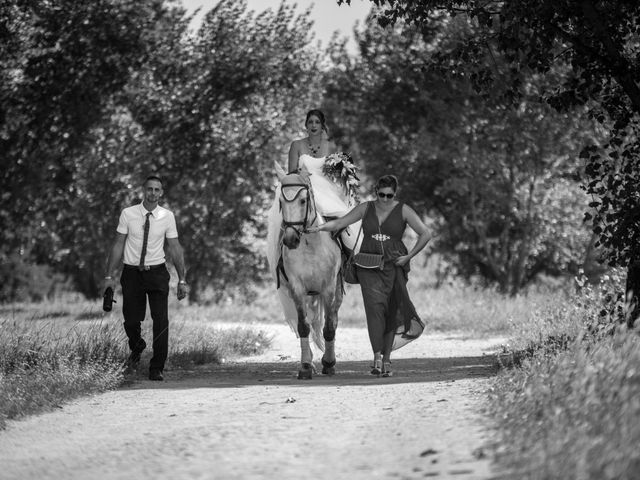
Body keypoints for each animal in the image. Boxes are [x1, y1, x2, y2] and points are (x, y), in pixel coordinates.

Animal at [266, 163, 342, 380]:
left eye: (303, 200)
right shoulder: (297, 289)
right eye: (281, 201)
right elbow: (303, 326)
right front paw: (306, 366)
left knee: (332, 319)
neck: (310, 245)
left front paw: (329, 363)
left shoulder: (328, 288)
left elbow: (329, 327)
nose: (290, 240)